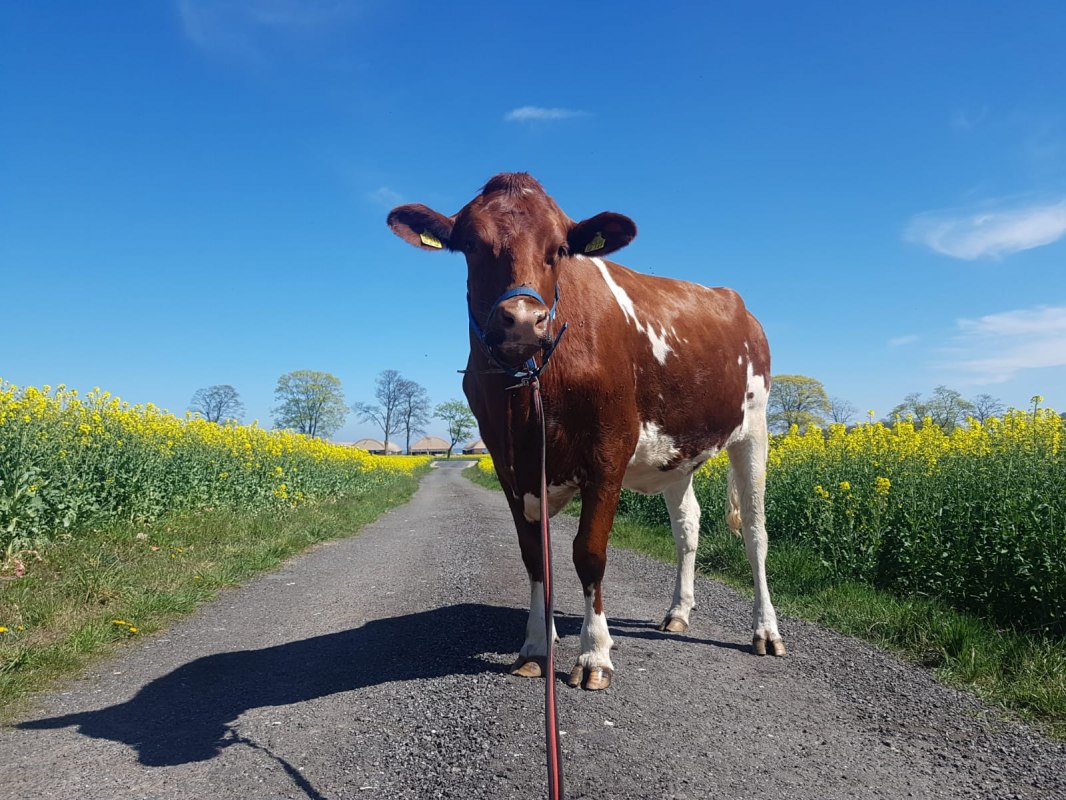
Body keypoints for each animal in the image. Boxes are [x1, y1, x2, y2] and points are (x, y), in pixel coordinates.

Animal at [387, 173, 785, 691]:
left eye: (559, 249)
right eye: (471, 245)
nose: (523, 321)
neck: (530, 394)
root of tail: (735, 303)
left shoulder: (608, 454)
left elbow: (589, 554)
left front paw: (594, 653)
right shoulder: (509, 466)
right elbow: (535, 556)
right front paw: (537, 644)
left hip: (753, 429)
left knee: (756, 532)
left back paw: (766, 631)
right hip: (676, 453)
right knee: (688, 525)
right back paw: (678, 611)